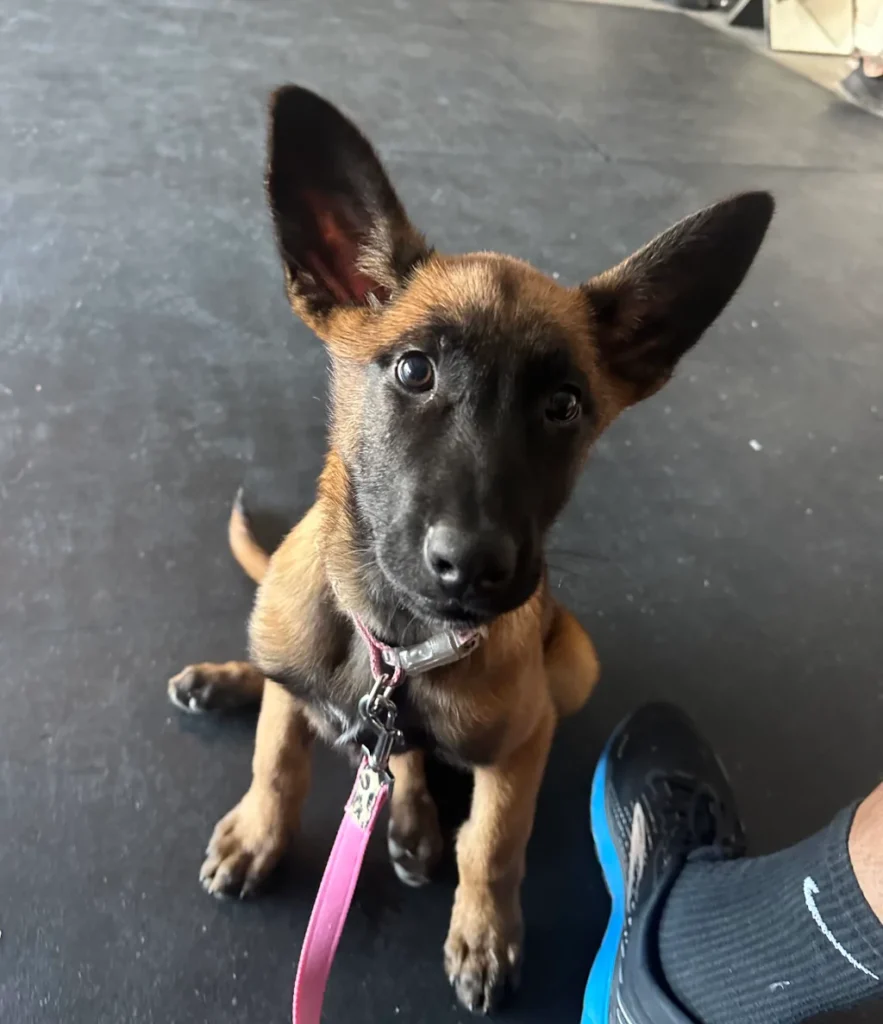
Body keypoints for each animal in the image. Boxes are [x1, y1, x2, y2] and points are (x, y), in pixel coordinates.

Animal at [167, 83, 774, 1011]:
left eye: (563, 406)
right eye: (413, 370)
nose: (475, 567)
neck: (395, 648)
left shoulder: (522, 746)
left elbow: (491, 843)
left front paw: (483, 931)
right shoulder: (305, 679)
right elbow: (277, 759)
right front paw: (259, 833)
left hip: (575, 661)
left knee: (413, 759)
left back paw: (412, 818)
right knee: (289, 693)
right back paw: (234, 683)